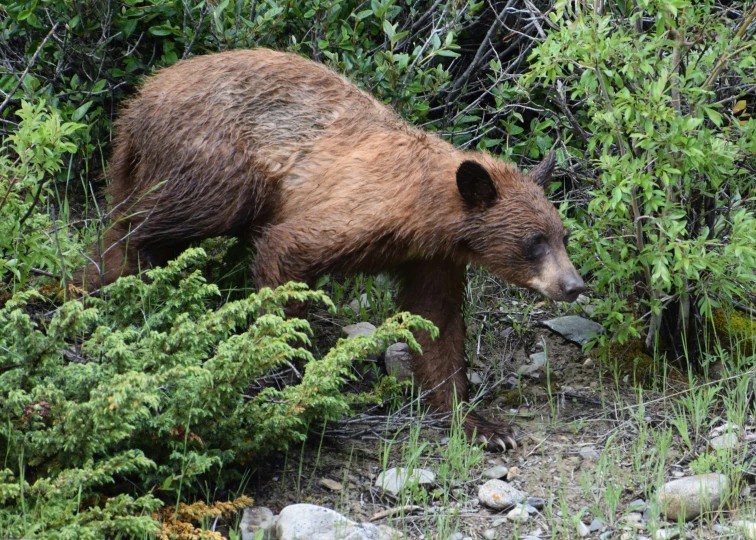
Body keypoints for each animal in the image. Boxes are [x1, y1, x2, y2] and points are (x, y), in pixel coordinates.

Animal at [84, 47, 592, 452]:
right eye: (534, 242)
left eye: (562, 236)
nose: (574, 285)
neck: (425, 211)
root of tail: (138, 101)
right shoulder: (360, 210)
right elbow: (287, 253)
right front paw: (288, 374)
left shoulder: (433, 258)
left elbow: (436, 323)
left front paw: (481, 424)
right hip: (215, 160)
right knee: (151, 221)